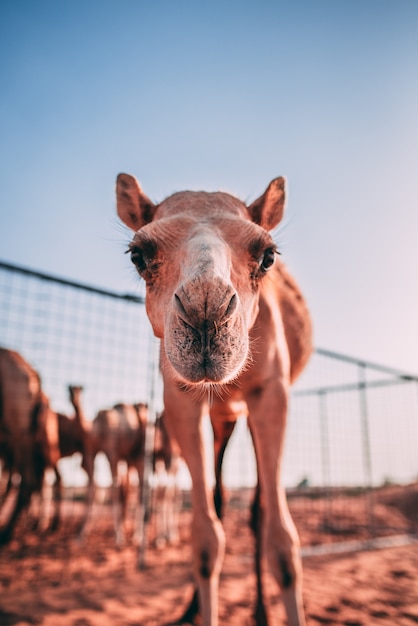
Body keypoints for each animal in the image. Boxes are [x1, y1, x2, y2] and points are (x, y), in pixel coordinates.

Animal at [116, 172, 312, 624]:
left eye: (267, 257)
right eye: (138, 255)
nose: (206, 313)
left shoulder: (271, 392)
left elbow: (283, 541)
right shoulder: (179, 398)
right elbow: (205, 539)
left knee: (257, 509)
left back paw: (260, 611)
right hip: (223, 414)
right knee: (219, 500)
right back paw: (191, 606)